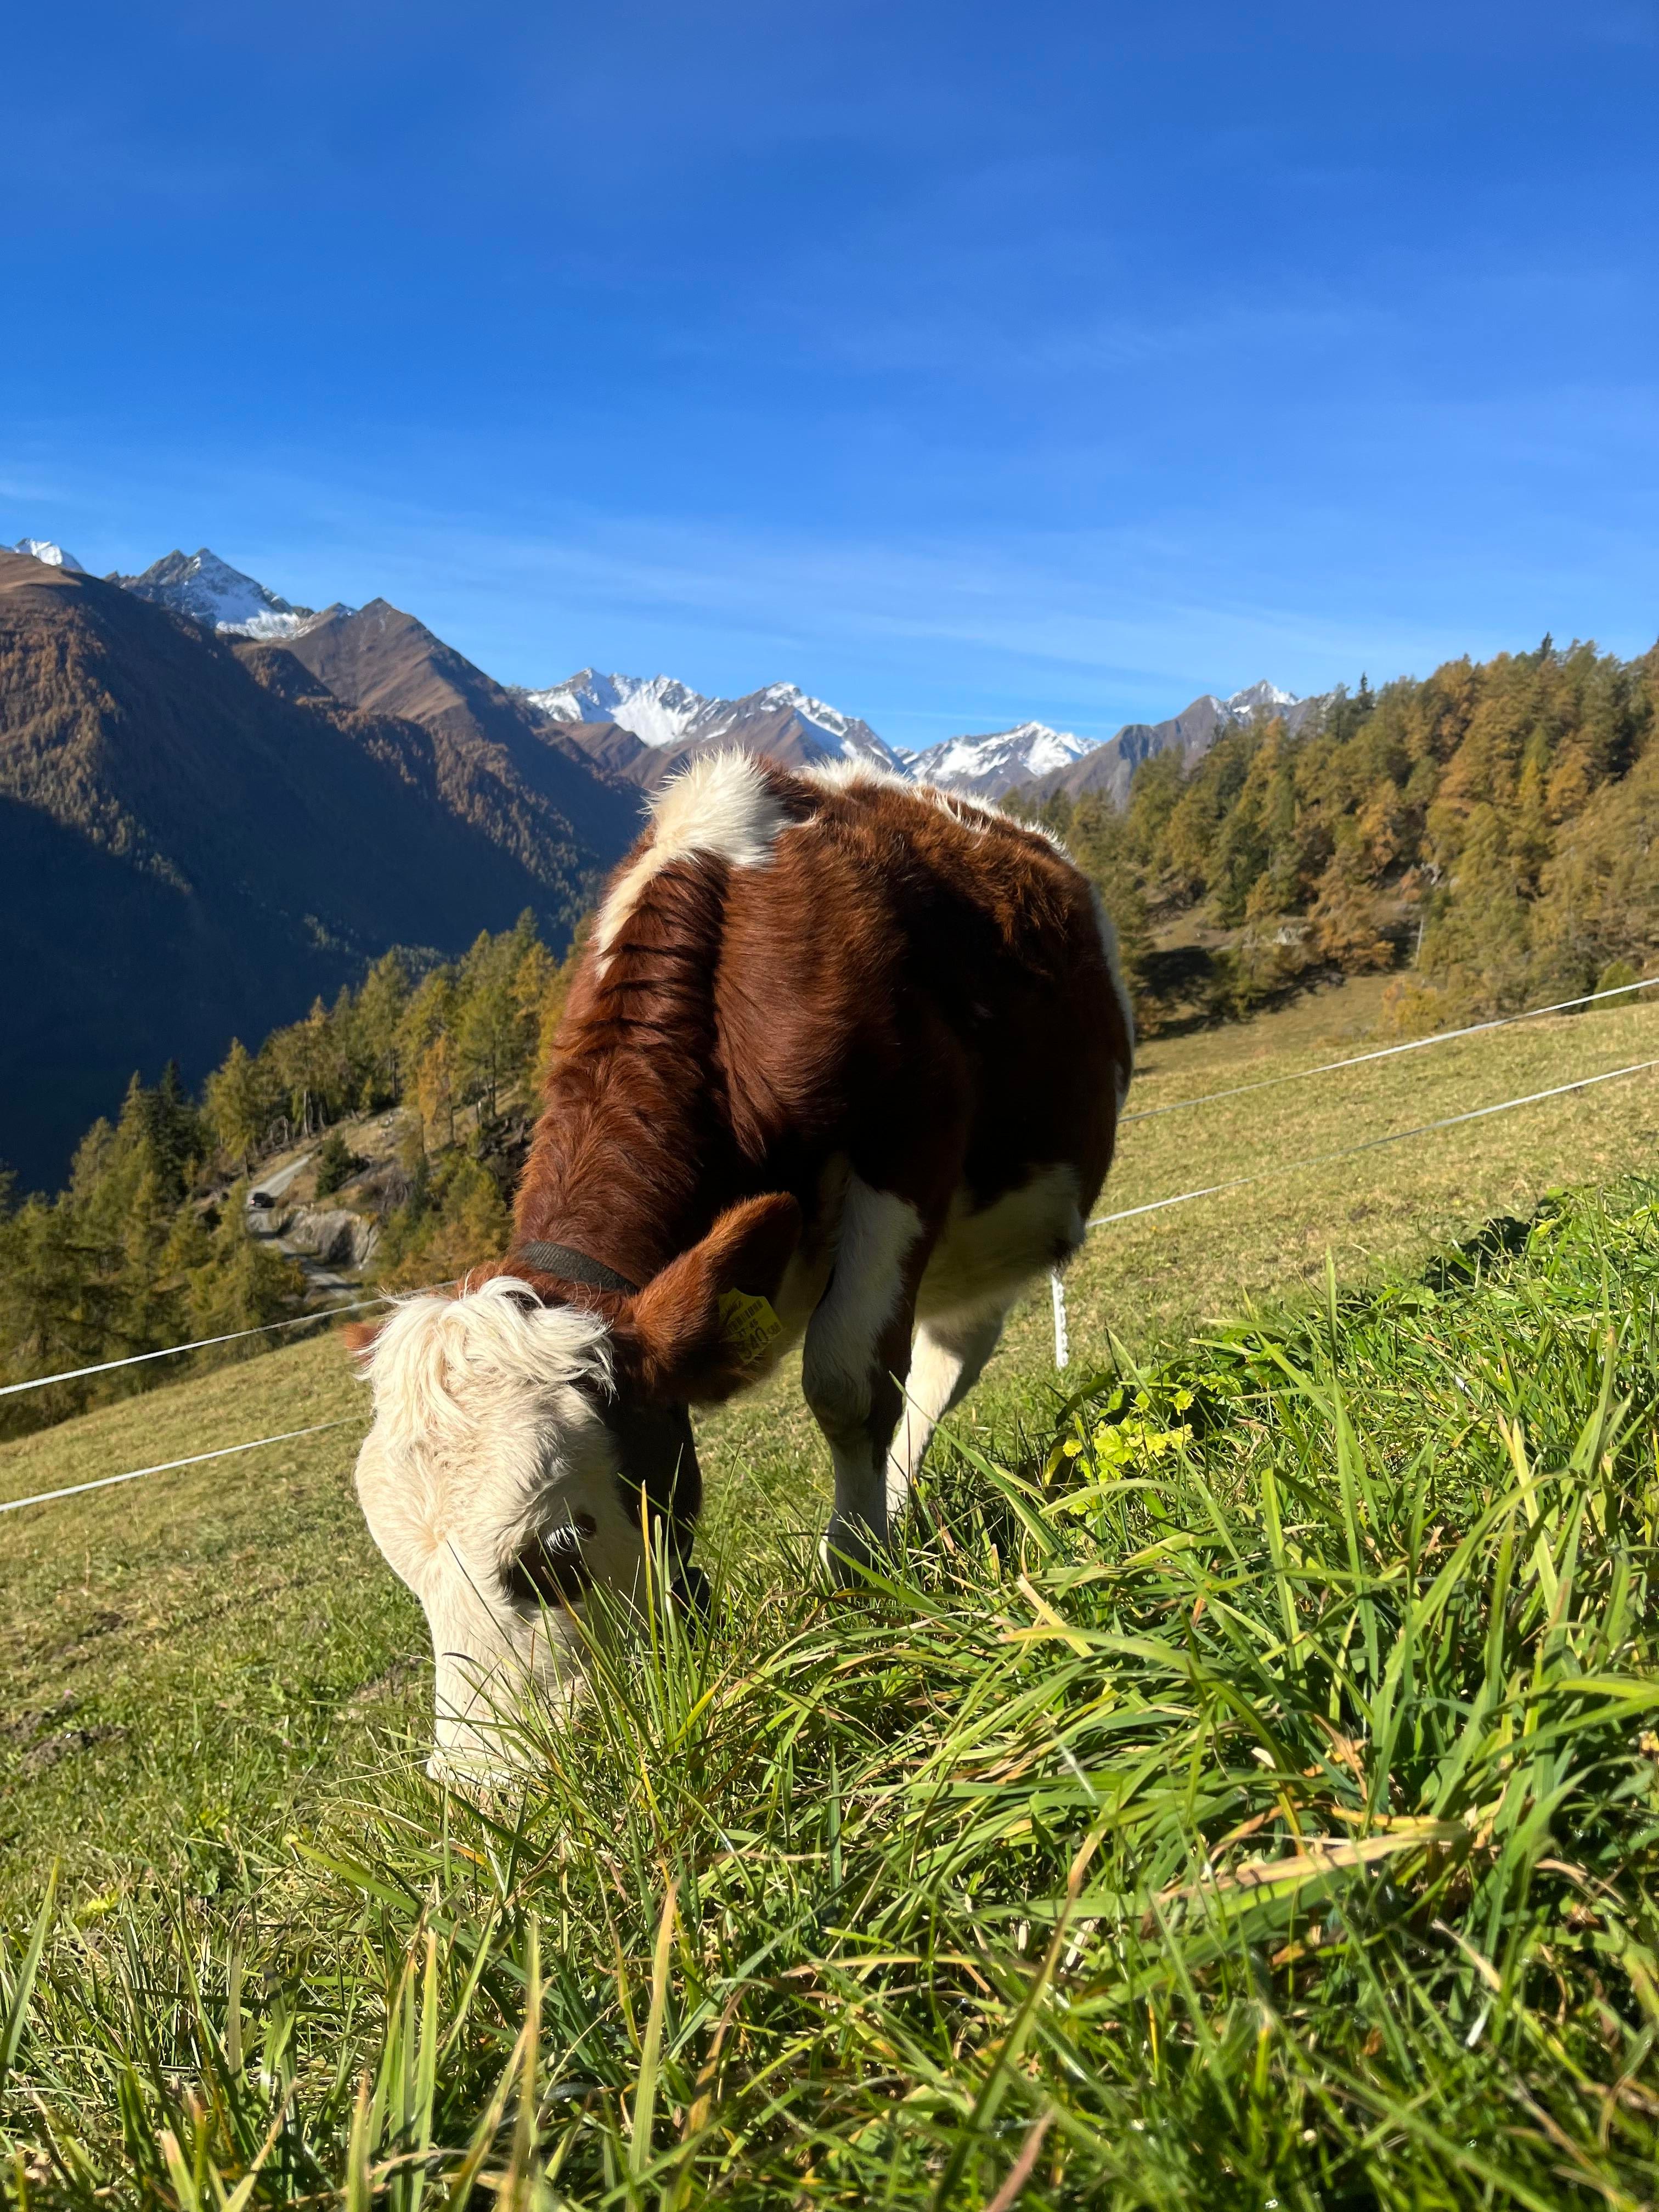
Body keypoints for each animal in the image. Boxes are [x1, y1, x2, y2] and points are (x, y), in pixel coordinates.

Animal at [348, 753, 1134, 1778]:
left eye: (558, 1545)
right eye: (402, 1567)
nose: (488, 1787)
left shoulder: (910, 1141)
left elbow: (846, 1383)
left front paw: (857, 1577)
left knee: (935, 1360)